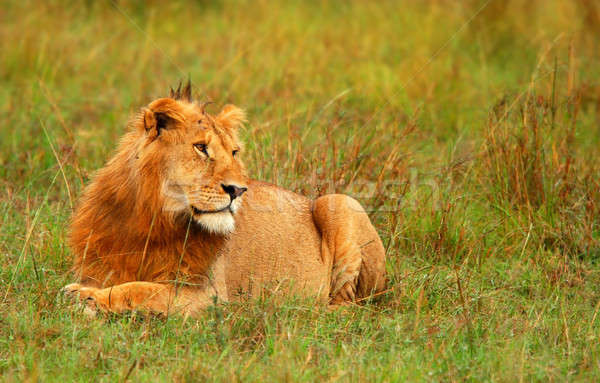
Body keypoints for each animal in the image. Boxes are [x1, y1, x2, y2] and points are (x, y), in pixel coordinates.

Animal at [63, 82, 386, 316]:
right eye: (201, 147)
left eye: (233, 152)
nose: (238, 190)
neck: (152, 218)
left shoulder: (208, 297)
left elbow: (139, 290)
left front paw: (87, 297)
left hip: (339, 202)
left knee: (348, 306)